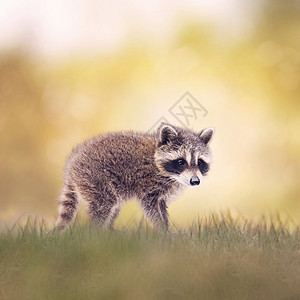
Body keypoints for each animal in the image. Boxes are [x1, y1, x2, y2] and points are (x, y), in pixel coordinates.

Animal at [53, 123, 213, 231]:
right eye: (181, 162)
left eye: (199, 162)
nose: (195, 181)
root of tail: (72, 165)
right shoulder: (147, 184)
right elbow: (151, 208)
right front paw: (162, 230)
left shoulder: (162, 193)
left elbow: (162, 207)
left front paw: (166, 228)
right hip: (95, 178)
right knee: (103, 205)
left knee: (113, 206)